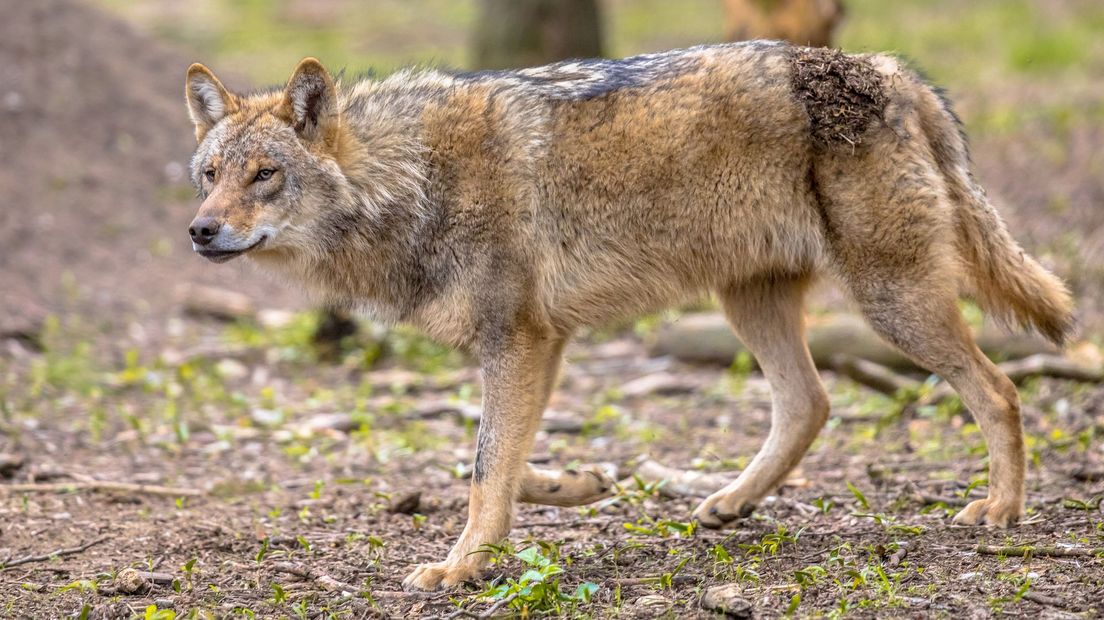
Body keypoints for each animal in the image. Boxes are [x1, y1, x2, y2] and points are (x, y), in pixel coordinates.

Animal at [185, 41, 1073, 586]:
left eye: (265, 175)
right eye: (209, 175)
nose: (200, 231)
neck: (413, 178)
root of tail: (888, 68)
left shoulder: (519, 338)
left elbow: (483, 464)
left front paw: (462, 566)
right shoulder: (540, 344)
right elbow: (500, 461)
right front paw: (574, 485)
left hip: (893, 303)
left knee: (999, 391)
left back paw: (1000, 509)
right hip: (751, 303)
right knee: (811, 403)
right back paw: (730, 503)